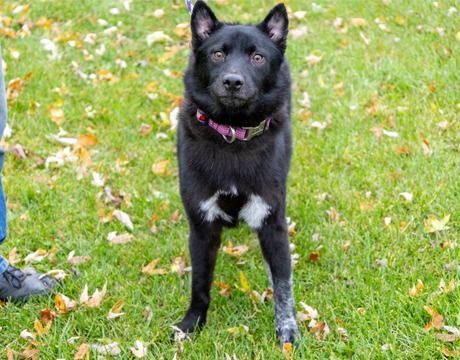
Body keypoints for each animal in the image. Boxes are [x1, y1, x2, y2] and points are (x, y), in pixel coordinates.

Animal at [176, 0, 298, 344]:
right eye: (218, 54)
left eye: (258, 58)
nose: (233, 81)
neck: (232, 135)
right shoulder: (202, 226)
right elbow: (200, 283)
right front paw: (193, 322)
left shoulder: (272, 223)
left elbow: (283, 286)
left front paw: (287, 330)